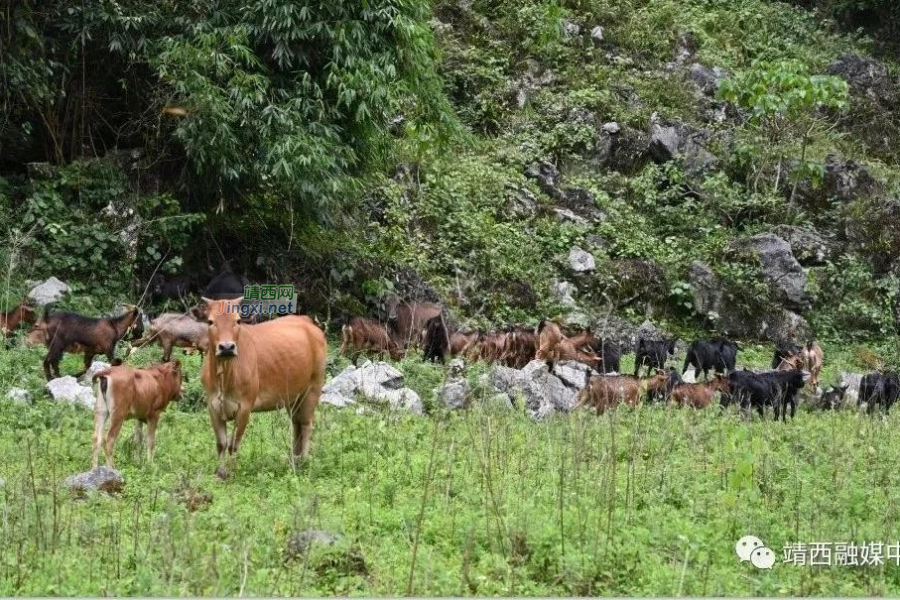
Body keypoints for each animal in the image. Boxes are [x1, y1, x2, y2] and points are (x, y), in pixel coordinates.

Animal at [197, 296, 326, 478]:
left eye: (237, 320)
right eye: (210, 321)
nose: (227, 347)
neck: (225, 377)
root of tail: (307, 321)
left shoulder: (245, 407)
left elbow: (233, 444)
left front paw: (232, 472)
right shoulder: (213, 406)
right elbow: (221, 443)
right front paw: (221, 473)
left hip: (313, 387)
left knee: (307, 424)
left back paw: (304, 462)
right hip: (293, 397)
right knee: (297, 424)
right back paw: (294, 460)